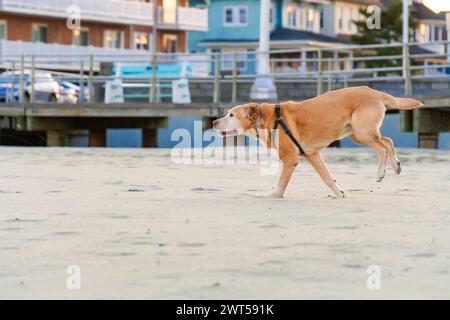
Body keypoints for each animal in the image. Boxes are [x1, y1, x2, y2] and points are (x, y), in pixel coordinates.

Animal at [211, 86, 422, 199]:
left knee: (383, 148)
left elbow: (281, 183)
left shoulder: (289, 160)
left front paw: (273, 195)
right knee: (388, 140)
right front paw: (339, 193)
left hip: (363, 133)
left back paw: (381, 172)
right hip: (358, 133)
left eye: (231, 114)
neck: (268, 120)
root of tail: (374, 91)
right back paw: (396, 165)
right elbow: (327, 177)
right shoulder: (312, 155)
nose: (213, 122)